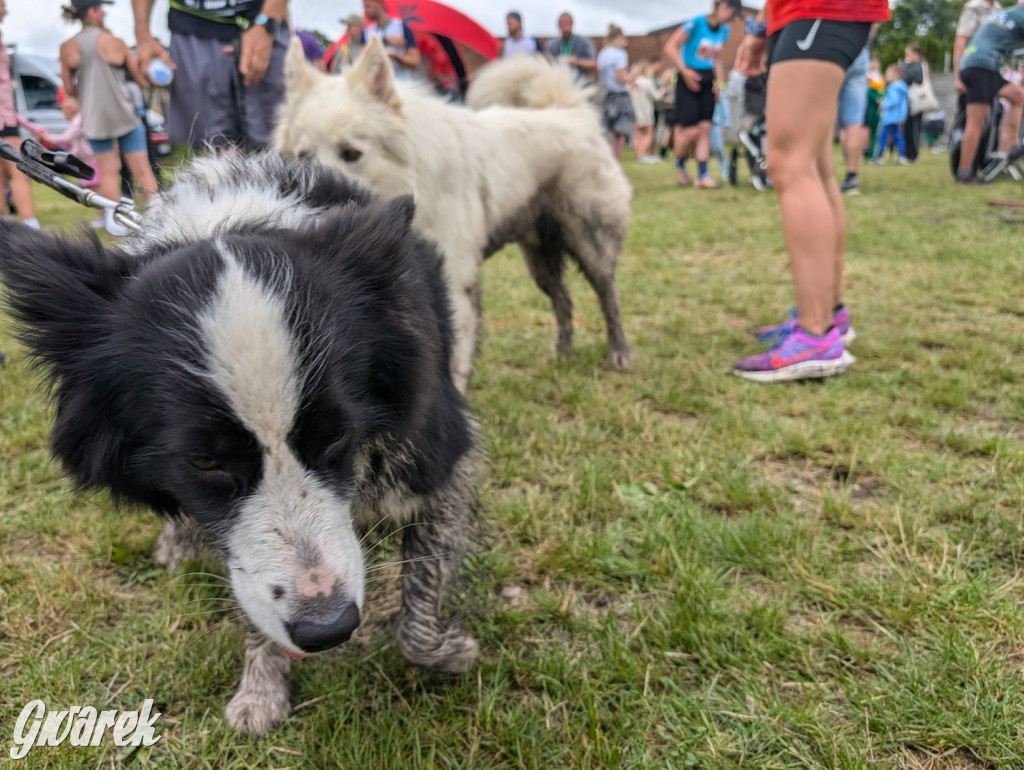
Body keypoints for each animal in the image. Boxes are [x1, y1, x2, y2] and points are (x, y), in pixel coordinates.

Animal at [0, 153, 479, 737]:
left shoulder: (438, 455)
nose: (329, 629)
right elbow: (250, 591)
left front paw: (451, 649)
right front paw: (261, 690)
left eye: (338, 436)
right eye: (204, 460)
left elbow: (418, 617)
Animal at [276, 37, 634, 391]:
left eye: (351, 153)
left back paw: (619, 354)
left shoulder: (454, 280)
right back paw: (562, 355)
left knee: (609, 297)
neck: (413, 182)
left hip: (590, 245)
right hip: (540, 263)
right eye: (303, 155)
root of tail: (571, 113)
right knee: (564, 301)